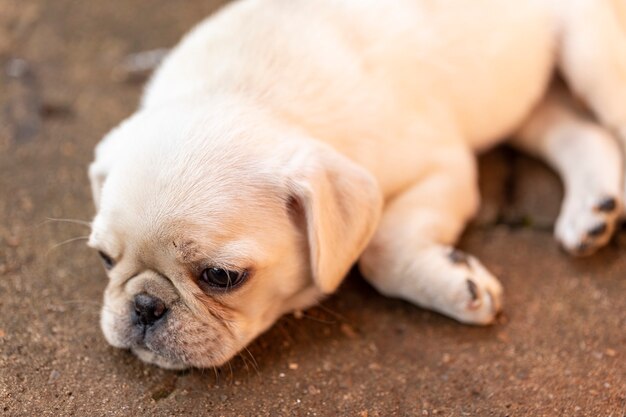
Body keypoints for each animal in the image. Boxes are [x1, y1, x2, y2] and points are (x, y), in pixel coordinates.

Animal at [86, 0, 624, 370]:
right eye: (105, 259)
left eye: (221, 277)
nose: (146, 306)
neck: (247, 93)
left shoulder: (444, 168)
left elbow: (380, 249)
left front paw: (454, 284)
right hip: (527, 97)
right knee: (579, 133)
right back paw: (592, 210)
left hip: (591, 53)